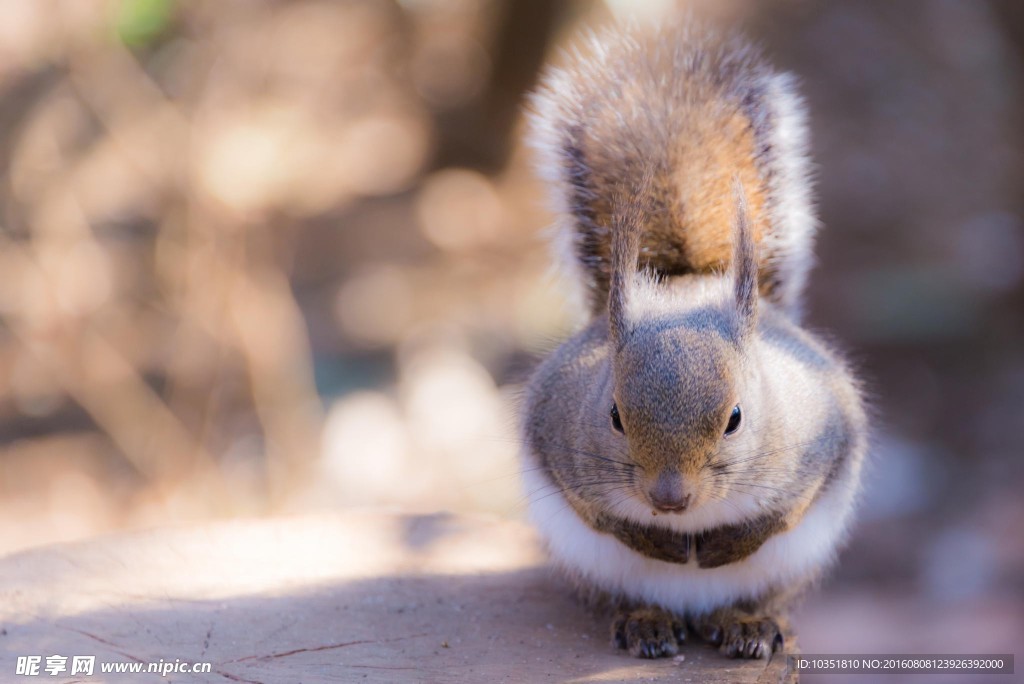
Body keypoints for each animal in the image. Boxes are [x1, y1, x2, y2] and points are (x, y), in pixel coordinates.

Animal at [520, 21, 864, 659]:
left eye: (736, 418)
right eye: (614, 416)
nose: (668, 501)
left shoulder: (822, 440)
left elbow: (791, 509)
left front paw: (733, 540)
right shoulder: (555, 437)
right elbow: (592, 511)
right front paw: (647, 535)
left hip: (788, 568)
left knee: (750, 598)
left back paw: (746, 624)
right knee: (628, 596)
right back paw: (647, 622)